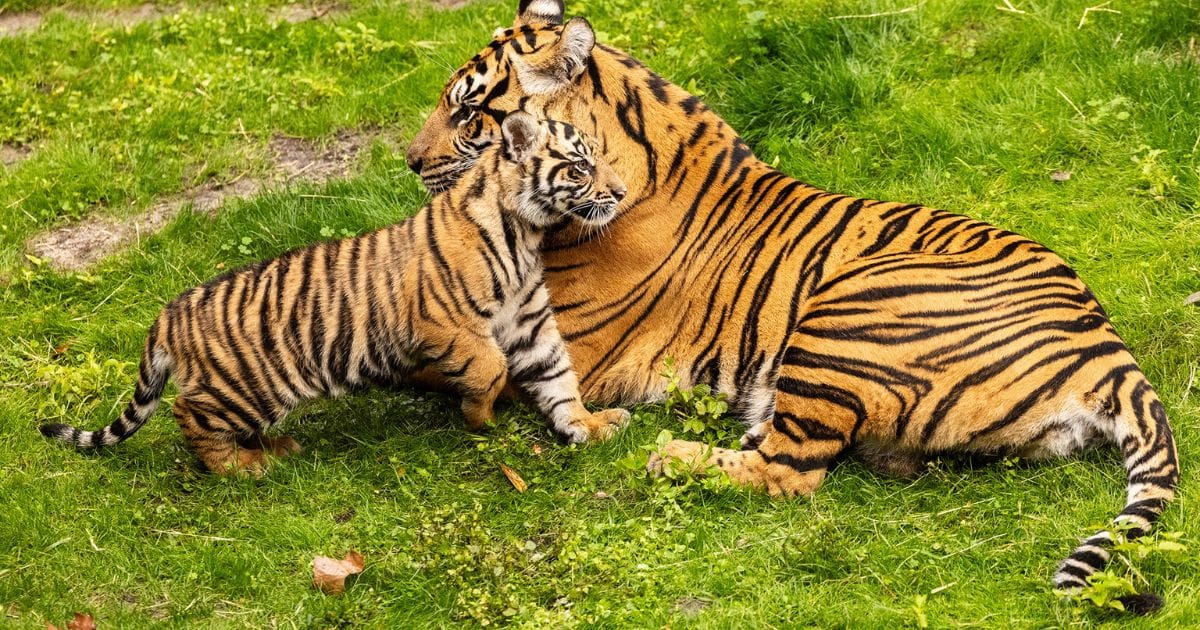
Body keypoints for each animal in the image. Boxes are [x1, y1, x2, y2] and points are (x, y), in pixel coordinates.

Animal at [39, 112, 630, 475]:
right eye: (580, 166)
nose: (622, 192)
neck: (525, 230)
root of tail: (170, 311)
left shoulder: (530, 323)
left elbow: (558, 377)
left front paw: (587, 425)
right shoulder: (444, 322)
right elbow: (489, 367)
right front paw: (479, 415)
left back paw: (275, 448)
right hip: (245, 388)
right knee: (188, 415)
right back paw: (242, 467)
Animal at [402, 0, 1179, 611]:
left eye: (467, 110)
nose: (410, 161)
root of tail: (1109, 349)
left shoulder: (551, 345)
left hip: (847, 312)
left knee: (791, 473)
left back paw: (671, 455)